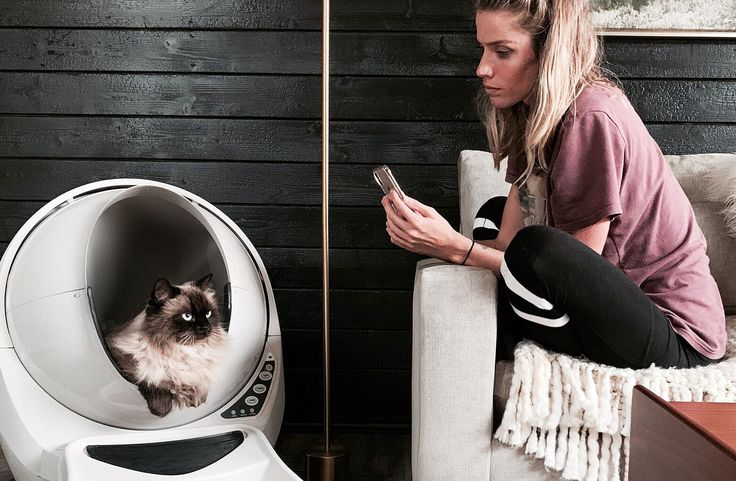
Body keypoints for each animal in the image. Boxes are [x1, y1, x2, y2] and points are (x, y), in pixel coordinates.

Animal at [105, 274, 227, 416]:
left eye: (208, 314)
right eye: (187, 316)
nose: (206, 327)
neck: (178, 349)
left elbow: (198, 385)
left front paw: (196, 399)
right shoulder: (123, 361)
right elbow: (152, 384)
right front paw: (162, 408)